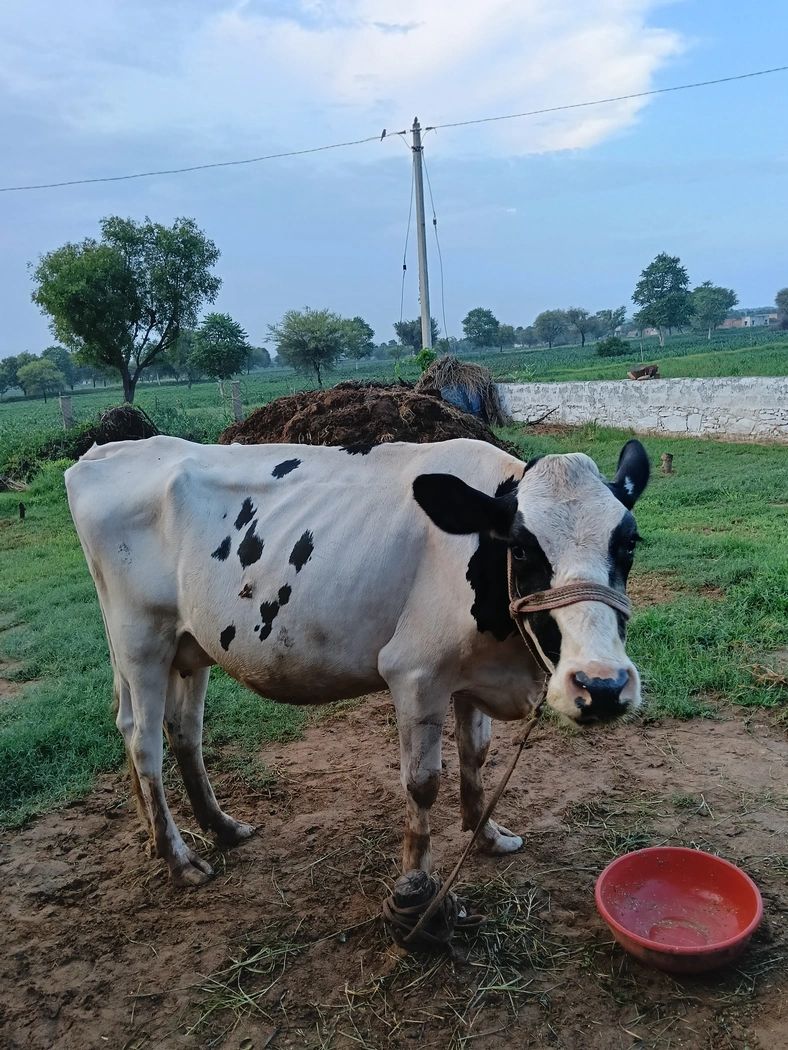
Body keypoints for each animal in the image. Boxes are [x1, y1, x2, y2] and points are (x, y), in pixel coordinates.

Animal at [65, 435, 649, 887]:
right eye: (523, 548)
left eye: (629, 544)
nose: (601, 686)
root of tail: (104, 452)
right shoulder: (414, 673)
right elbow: (422, 782)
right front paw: (417, 880)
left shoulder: (468, 673)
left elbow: (476, 756)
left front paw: (486, 833)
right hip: (141, 640)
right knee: (144, 741)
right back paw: (177, 857)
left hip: (190, 645)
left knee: (180, 729)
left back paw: (215, 827)